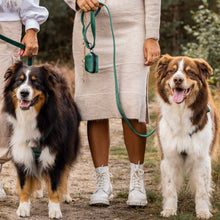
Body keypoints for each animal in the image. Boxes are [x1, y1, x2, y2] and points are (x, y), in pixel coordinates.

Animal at [2, 61, 81, 218]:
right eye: (19, 81)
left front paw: (55, 209)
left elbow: (54, 185)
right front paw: (23, 208)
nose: (24, 93)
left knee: (65, 172)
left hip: (69, 147)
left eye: (36, 82)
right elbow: (24, 185)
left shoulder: (55, 154)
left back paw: (66, 195)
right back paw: (37, 192)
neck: (32, 117)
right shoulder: (21, 151)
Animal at [156, 54, 219, 218]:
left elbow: (202, 189)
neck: (181, 112)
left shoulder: (202, 157)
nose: (178, 79)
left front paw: (203, 211)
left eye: (190, 72)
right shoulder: (168, 156)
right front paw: (169, 209)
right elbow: (170, 187)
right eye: (171, 71)